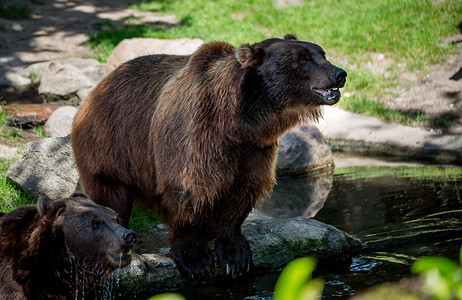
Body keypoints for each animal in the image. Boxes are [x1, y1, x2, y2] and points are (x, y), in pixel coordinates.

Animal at [71, 33, 346, 278]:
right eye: (302, 59)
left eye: (321, 53)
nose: (339, 74)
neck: (240, 122)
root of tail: (98, 86)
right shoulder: (195, 133)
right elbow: (190, 190)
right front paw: (196, 259)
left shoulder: (254, 150)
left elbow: (242, 191)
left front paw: (235, 255)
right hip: (113, 144)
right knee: (111, 195)